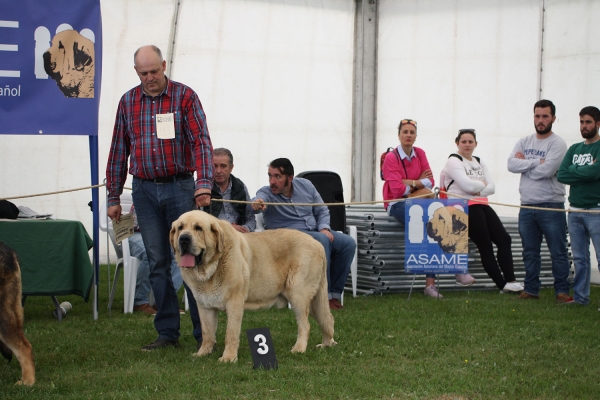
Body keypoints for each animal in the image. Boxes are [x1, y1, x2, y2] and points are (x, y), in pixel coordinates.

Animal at [170, 211, 338, 364]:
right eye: (180, 228)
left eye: (198, 228)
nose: (184, 238)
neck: (211, 268)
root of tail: (318, 244)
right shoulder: (205, 305)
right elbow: (207, 333)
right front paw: (203, 353)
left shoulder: (234, 303)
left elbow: (230, 333)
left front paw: (228, 358)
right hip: (314, 300)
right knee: (327, 319)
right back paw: (326, 344)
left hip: (298, 295)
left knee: (306, 325)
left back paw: (299, 349)